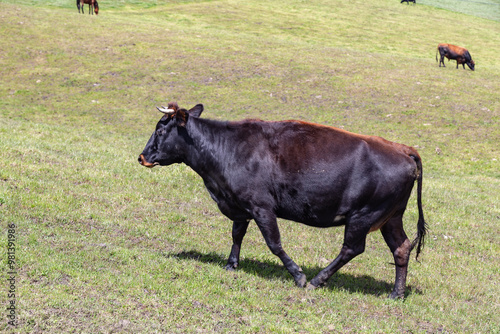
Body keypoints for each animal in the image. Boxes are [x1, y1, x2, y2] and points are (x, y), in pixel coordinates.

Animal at [139, 103, 428, 298]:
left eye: (161, 131)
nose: (142, 157)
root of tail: (402, 149)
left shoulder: (261, 206)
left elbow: (274, 243)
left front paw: (298, 275)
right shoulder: (240, 204)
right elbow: (237, 234)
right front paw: (231, 265)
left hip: (363, 215)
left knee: (352, 248)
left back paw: (316, 280)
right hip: (391, 217)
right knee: (401, 248)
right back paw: (396, 294)